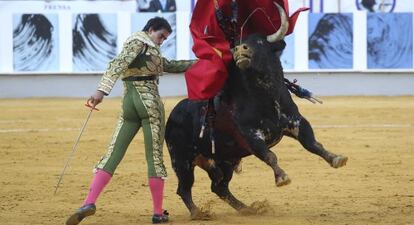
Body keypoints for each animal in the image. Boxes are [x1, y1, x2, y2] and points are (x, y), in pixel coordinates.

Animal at [163, 4, 348, 219]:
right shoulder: (251, 136)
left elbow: (313, 143)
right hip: (181, 159)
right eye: (236, 44)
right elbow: (270, 155)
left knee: (219, 187)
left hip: (225, 160)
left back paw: (246, 208)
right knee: (184, 188)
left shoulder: (297, 122)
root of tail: (174, 112)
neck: (266, 97)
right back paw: (198, 213)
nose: (239, 50)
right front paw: (282, 177)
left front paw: (336, 158)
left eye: (259, 41)